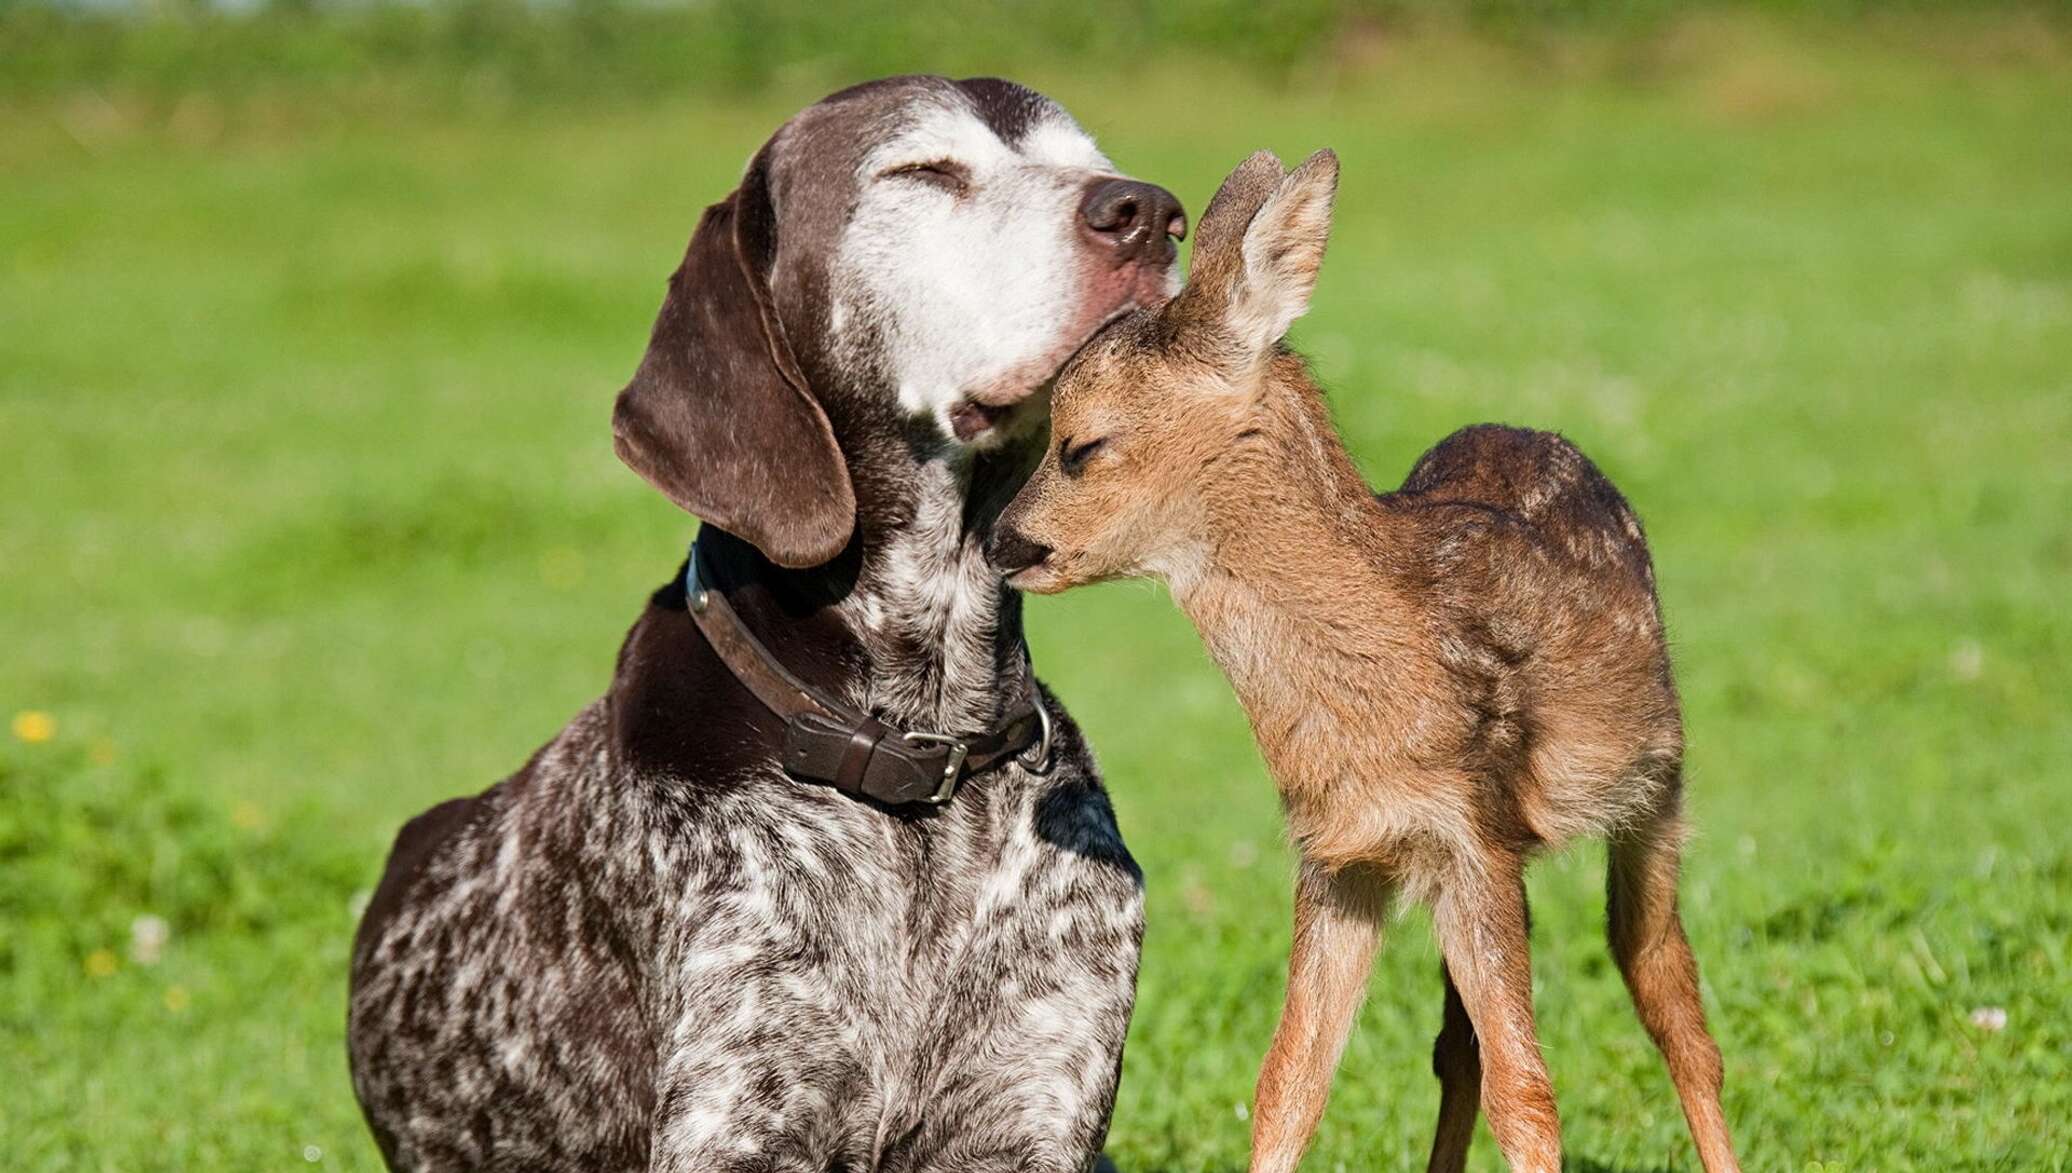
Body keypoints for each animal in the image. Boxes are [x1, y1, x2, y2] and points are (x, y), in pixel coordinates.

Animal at [341, 78, 1185, 1168]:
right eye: (922, 171)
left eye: (1092, 161)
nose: (1149, 212)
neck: (915, 746)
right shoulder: (739, 1116)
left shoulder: (1030, 1118)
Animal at [994, 151, 1740, 1168]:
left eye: (1081, 443)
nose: (1003, 540)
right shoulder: (1341, 851)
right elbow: (1289, 1081)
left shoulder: (1472, 829)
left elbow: (1528, 1090)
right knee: (1459, 1045)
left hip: (1657, 786)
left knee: (1666, 992)